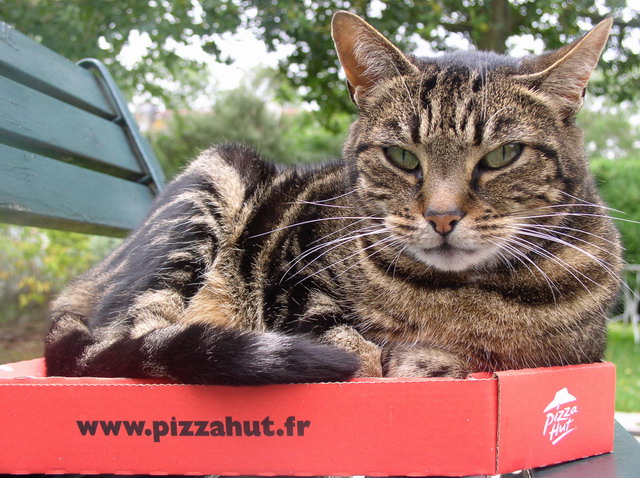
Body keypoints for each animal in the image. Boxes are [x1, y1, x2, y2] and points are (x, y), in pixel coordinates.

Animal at [45, 11, 622, 384]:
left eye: (503, 155)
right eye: (402, 156)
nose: (442, 217)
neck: (456, 299)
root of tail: (80, 282)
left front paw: (432, 363)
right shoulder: (295, 274)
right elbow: (351, 348)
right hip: (213, 180)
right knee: (135, 336)